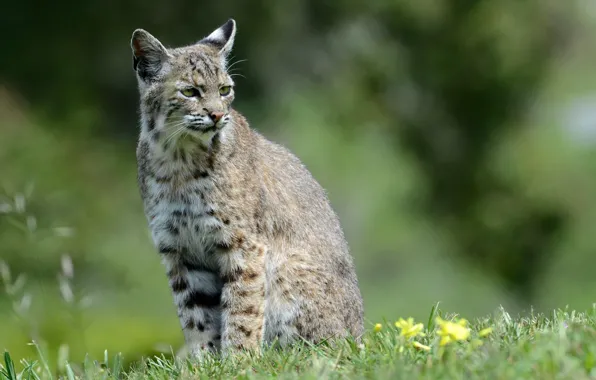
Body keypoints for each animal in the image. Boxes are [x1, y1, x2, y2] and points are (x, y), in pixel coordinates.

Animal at [130, 18, 364, 356]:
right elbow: (195, 316)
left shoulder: (244, 244)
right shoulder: (178, 248)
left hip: (290, 270)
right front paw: (203, 361)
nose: (217, 115)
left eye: (225, 90)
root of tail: (360, 336)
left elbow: (242, 309)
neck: (178, 158)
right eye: (190, 91)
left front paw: (240, 360)